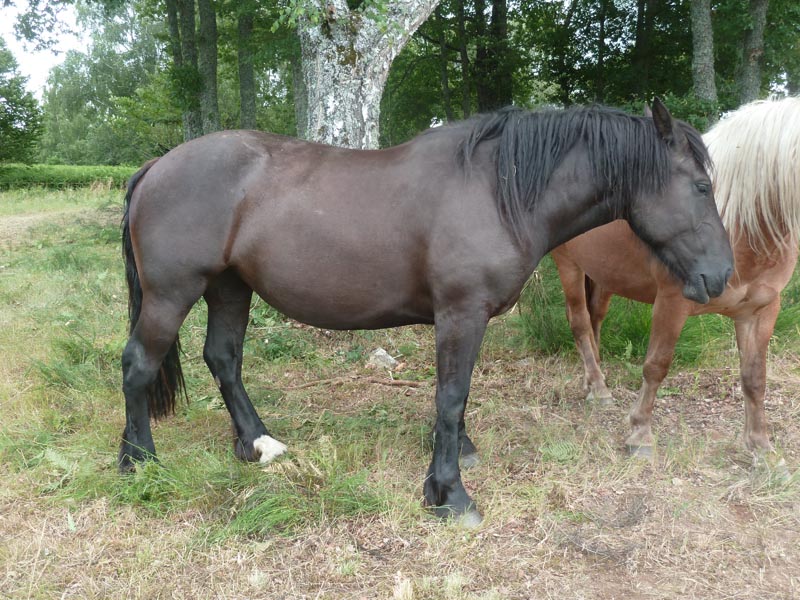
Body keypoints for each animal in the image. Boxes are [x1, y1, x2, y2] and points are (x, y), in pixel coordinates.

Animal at [117, 101, 732, 528]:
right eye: (701, 186)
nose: (721, 275)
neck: (497, 189)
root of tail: (156, 167)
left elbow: (454, 398)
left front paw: (460, 454)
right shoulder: (461, 312)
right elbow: (451, 395)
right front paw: (449, 494)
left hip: (229, 288)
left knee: (223, 358)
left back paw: (258, 445)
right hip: (172, 293)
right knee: (139, 365)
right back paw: (139, 462)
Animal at [552, 96, 800, 458]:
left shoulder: (761, 310)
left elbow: (755, 377)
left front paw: (761, 447)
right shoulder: (672, 302)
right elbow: (656, 365)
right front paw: (640, 434)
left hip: (604, 273)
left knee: (595, 317)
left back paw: (592, 376)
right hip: (568, 264)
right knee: (580, 322)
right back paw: (598, 389)